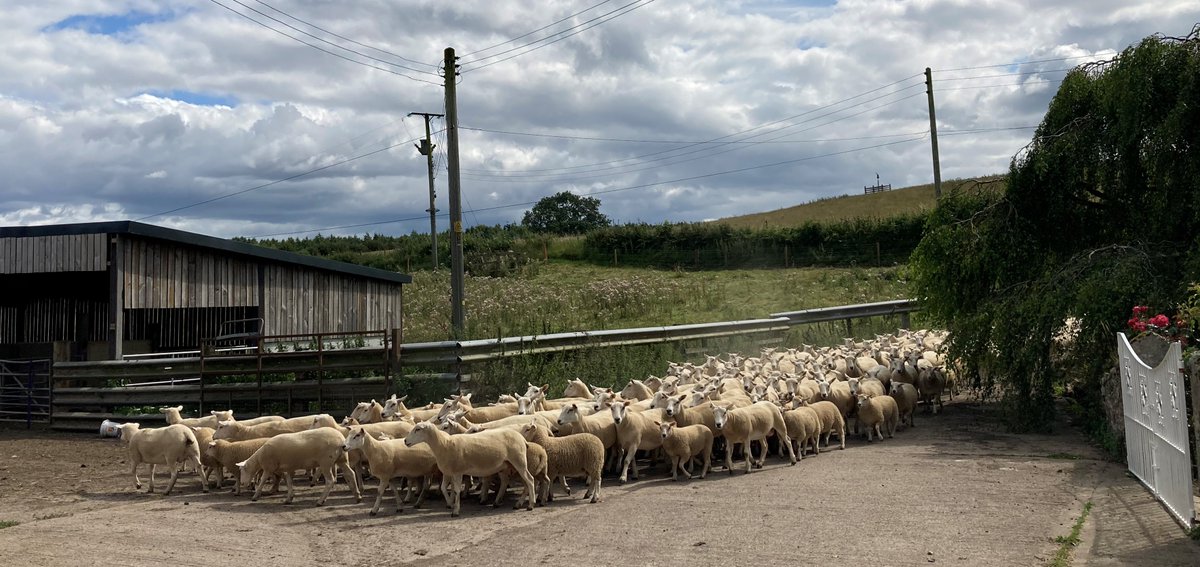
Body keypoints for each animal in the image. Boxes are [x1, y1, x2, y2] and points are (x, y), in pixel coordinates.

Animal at [403, 421, 536, 517]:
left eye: (418, 429)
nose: (405, 441)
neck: (444, 444)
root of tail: (522, 438)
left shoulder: (457, 472)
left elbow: (456, 490)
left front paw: (456, 511)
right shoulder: (448, 472)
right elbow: (444, 488)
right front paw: (450, 504)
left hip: (519, 461)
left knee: (530, 480)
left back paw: (531, 504)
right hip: (506, 465)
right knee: (513, 482)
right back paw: (504, 502)